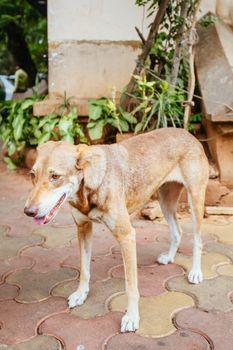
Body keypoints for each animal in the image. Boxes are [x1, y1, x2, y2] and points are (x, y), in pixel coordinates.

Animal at [24, 129, 208, 334]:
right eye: (32, 175)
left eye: (55, 176)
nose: (28, 211)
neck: (89, 184)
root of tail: (187, 133)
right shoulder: (83, 228)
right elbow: (84, 270)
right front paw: (81, 294)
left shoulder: (126, 235)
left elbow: (131, 286)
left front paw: (132, 317)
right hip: (165, 201)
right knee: (177, 231)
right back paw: (169, 257)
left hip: (195, 200)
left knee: (198, 239)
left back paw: (195, 272)